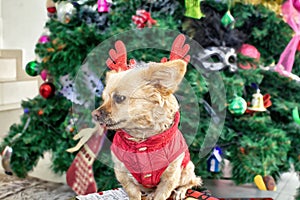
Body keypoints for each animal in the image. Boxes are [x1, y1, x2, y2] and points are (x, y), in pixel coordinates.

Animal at [92, 38, 202, 200]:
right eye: (104, 98)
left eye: (119, 98)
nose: (94, 114)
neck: (142, 139)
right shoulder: (124, 176)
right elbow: (134, 195)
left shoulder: (169, 179)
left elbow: (162, 194)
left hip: (186, 169)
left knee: (192, 181)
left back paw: (180, 191)